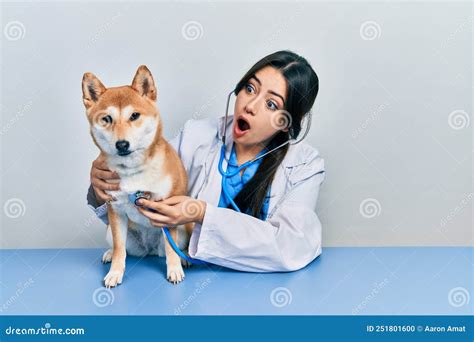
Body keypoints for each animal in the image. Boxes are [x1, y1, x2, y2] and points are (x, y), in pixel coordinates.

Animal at [82, 65, 191, 288]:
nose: (122, 144)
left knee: (174, 247)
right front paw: (115, 272)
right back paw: (109, 253)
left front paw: (174, 269)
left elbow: (171, 248)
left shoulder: (168, 210)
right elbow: (120, 250)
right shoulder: (115, 211)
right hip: (112, 231)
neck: (132, 171)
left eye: (134, 116)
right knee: (121, 248)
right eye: (106, 119)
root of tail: (150, 250)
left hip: (184, 229)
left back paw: (184, 259)